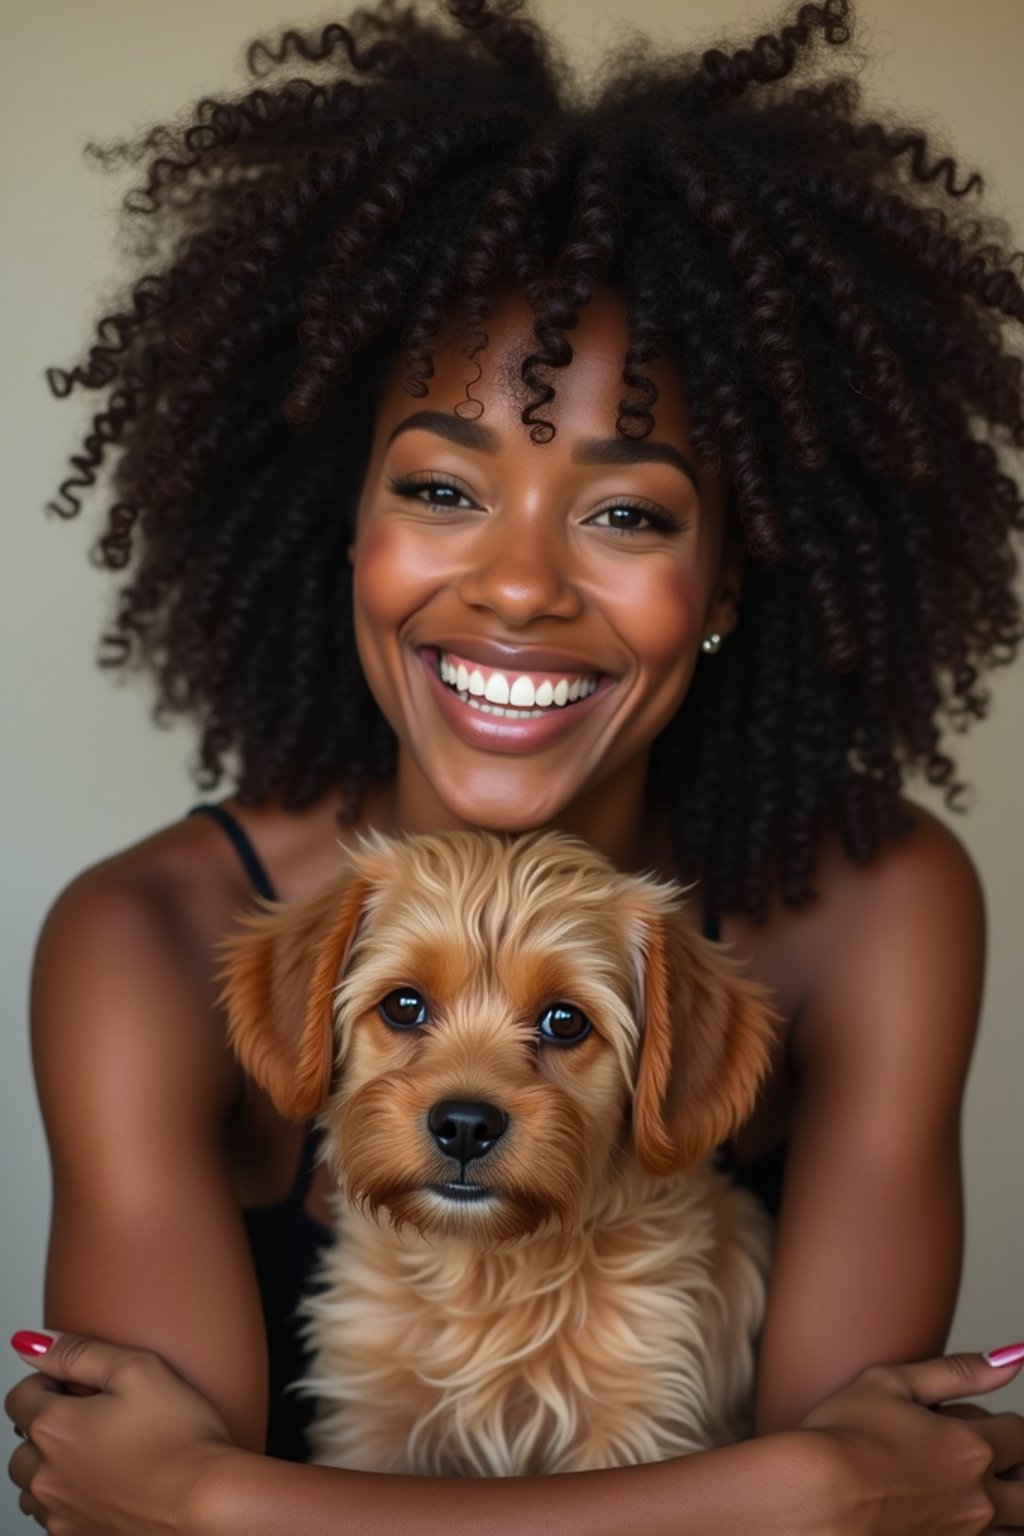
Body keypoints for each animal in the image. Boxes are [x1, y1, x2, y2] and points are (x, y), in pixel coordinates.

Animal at [221, 829, 773, 1474]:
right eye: (403, 1006)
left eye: (565, 1021)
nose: (464, 1125)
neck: (489, 1269)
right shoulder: (370, 1420)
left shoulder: (640, 1418)